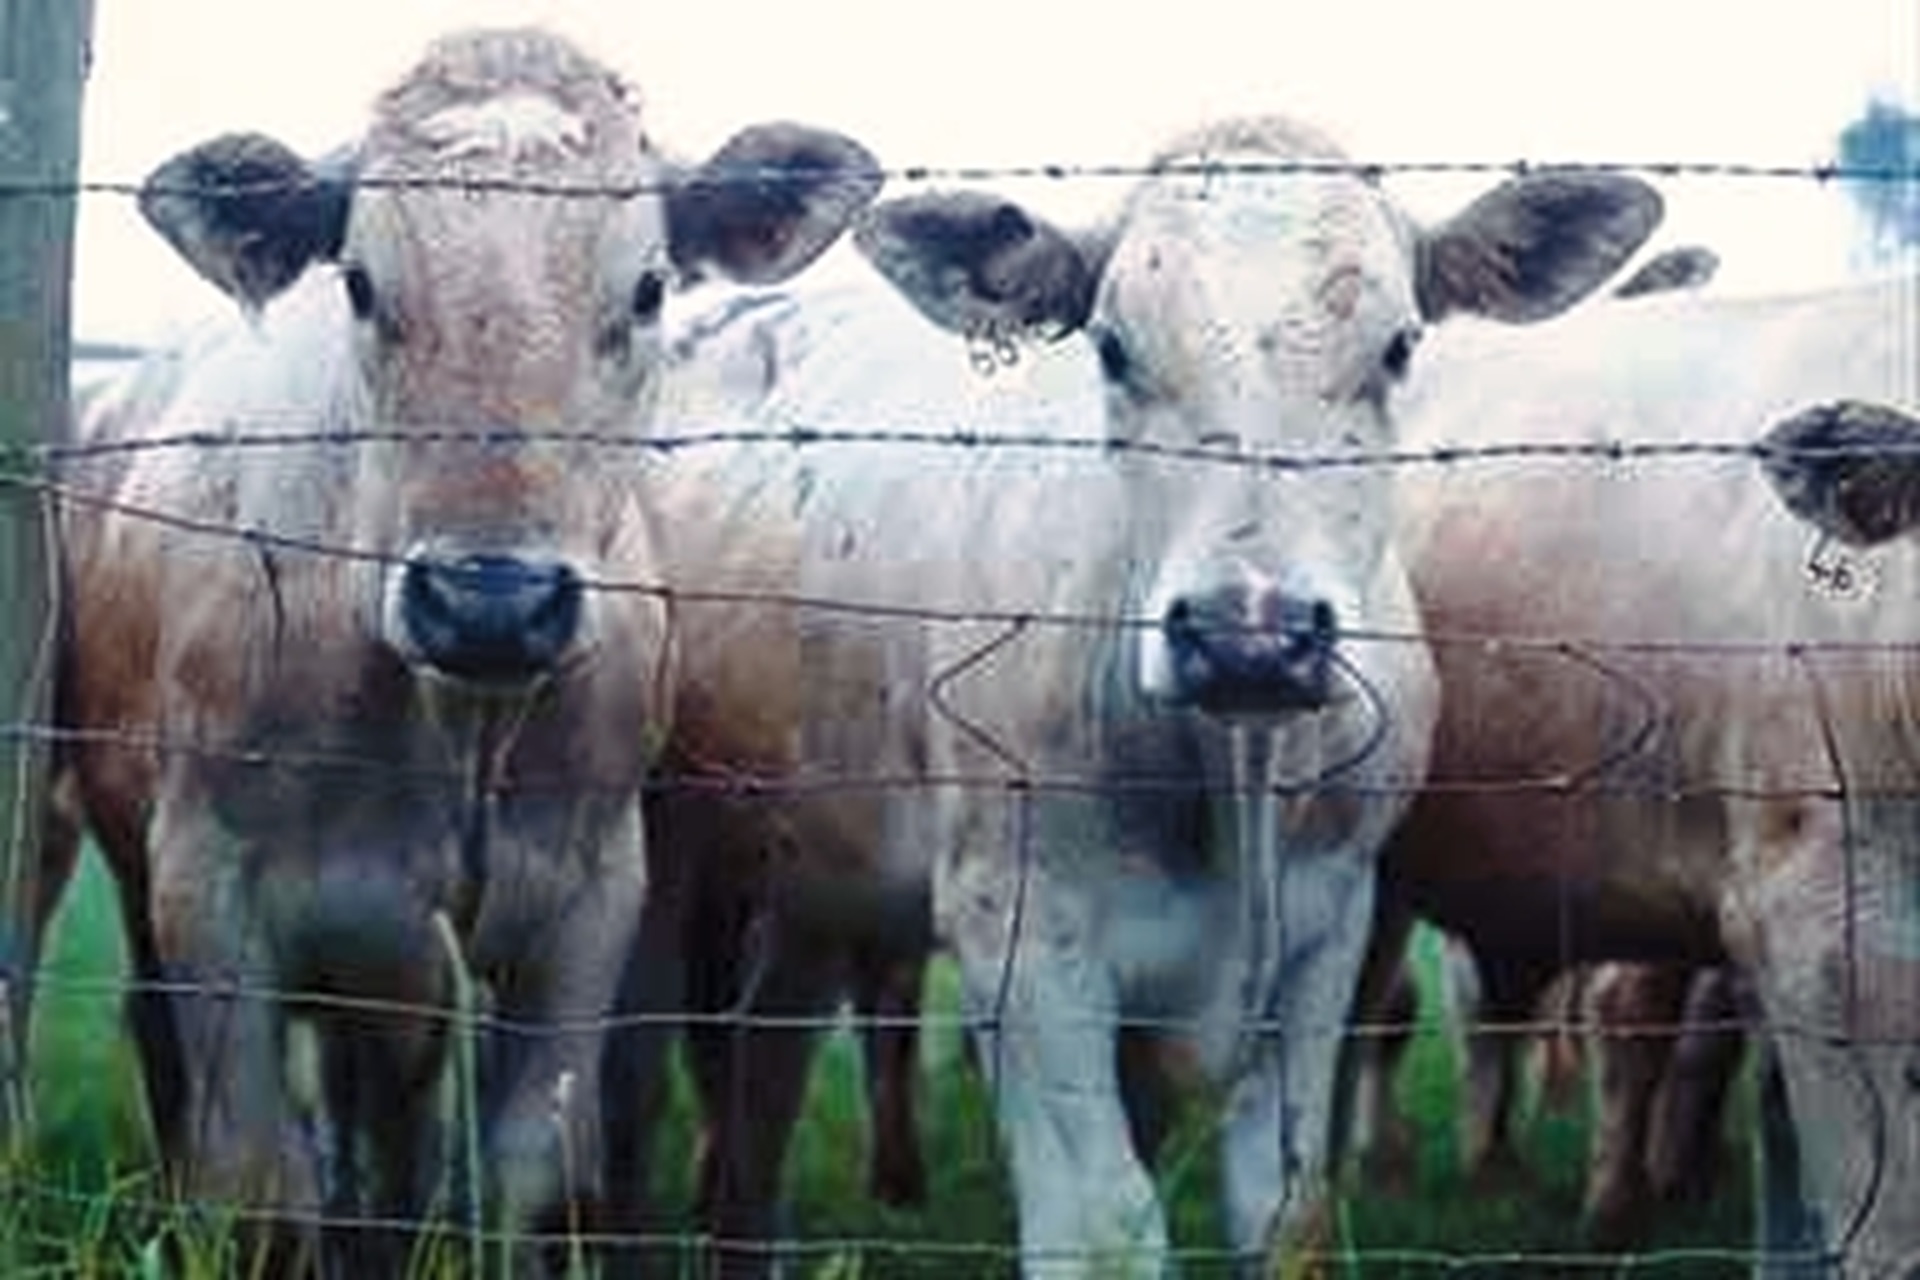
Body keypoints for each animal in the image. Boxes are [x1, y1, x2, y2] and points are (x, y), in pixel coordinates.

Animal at [52, 26, 878, 1273]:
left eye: (648, 287)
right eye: (358, 281)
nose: (490, 601)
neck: (457, 719)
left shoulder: (587, 907)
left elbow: (523, 1173)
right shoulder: (212, 886)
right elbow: (258, 1180)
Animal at [618, 119, 1666, 1277]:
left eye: (1397, 347)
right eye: (1112, 347)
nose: (1248, 635)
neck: (1230, 778)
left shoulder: (1327, 932)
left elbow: (1286, 1208)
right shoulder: (1024, 942)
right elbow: (1105, 1222)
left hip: (812, 874)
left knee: (762, 1082)